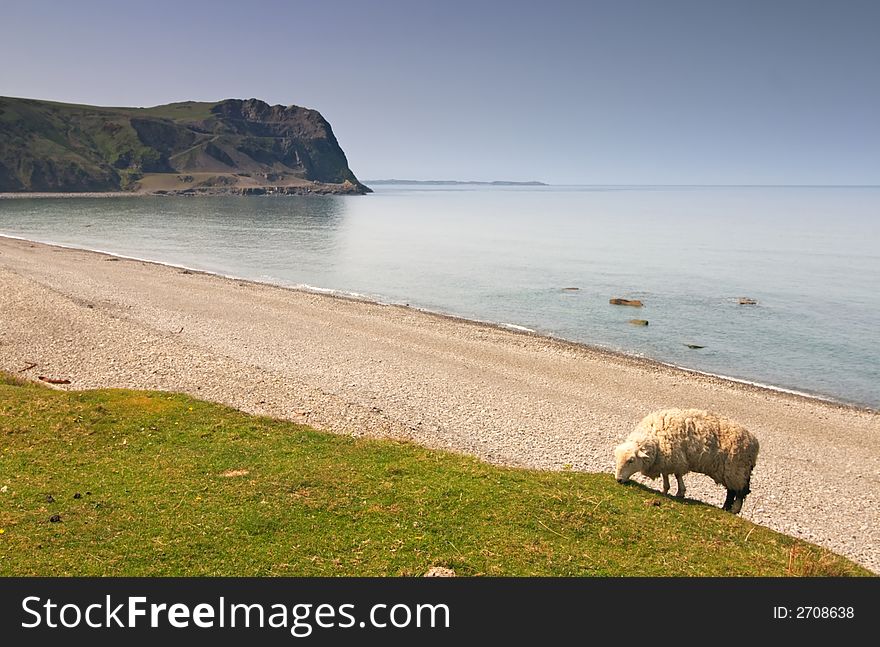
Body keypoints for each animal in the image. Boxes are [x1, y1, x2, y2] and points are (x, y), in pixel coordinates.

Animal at [616, 408, 760, 512]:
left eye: (631, 460)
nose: (618, 480)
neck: (655, 439)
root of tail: (754, 442)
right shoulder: (666, 461)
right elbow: (666, 476)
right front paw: (665, 490)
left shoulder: (677, 459)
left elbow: (677, 476)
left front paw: (680, 492)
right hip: (730, 472)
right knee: (732, 491)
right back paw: (725, 508)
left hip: (737, 470)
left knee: (740, 492)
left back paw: (734, 509)